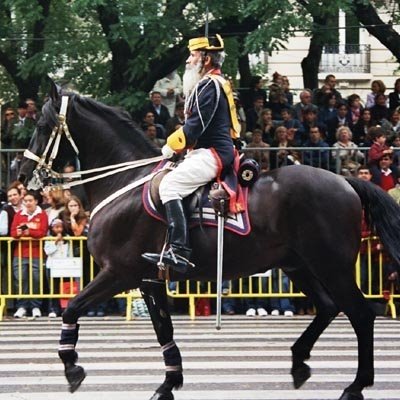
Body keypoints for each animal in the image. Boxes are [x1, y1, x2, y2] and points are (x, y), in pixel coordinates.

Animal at [19, 82, 400, 400]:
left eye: (42, 127)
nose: (21, 175)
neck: (124, 181)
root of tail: (347, 181)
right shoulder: (149, 280)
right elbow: (163, 330)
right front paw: (169, 382)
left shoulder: (119, 273)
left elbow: (73, 306)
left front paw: (72, 366)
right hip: (299, 265)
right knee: (328, 307)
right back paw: (298, 362)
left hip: (332, 266)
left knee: (360, 314)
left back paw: (355, 385)